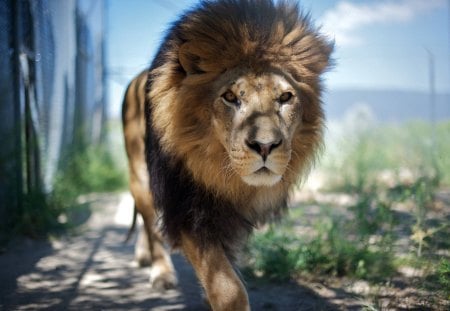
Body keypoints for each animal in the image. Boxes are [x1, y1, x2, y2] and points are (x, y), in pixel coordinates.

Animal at [121, 0, 332, 310]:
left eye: (285, 98)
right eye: (230, 97)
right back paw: (160, 272)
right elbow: (228, 287)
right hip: (140, 173)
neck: (223, 175)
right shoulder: (187, 207)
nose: (265, 146)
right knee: (150, 222)